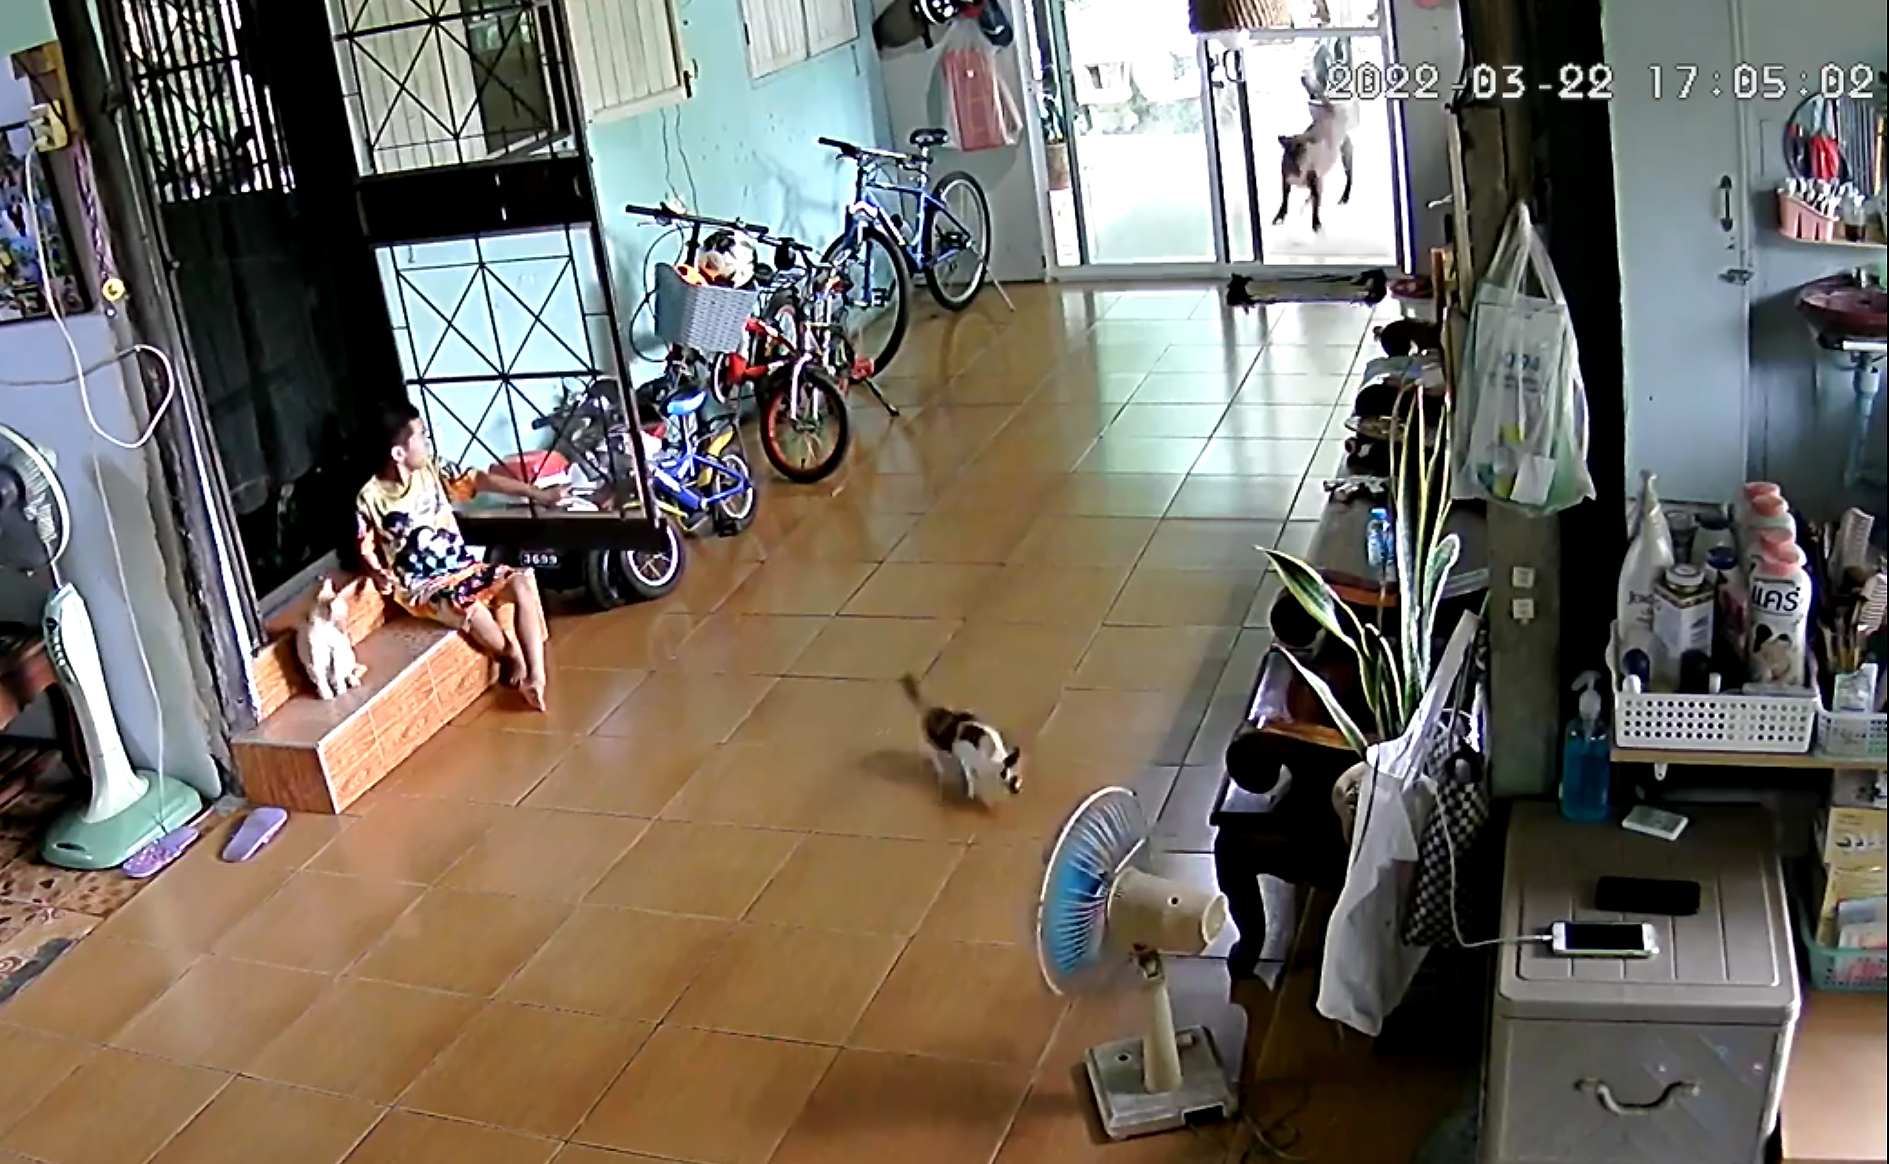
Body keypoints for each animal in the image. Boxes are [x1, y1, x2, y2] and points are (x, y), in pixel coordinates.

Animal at [1269, 101, 1360, 234]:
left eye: (1304, 147)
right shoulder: (1286, 180)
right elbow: (1285, 200)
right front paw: (1279, 217)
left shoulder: (1314, 181)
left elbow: (1315, 207)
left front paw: (1316, 225)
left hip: (1345, 159)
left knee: (1349, 178)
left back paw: (1344, 198)